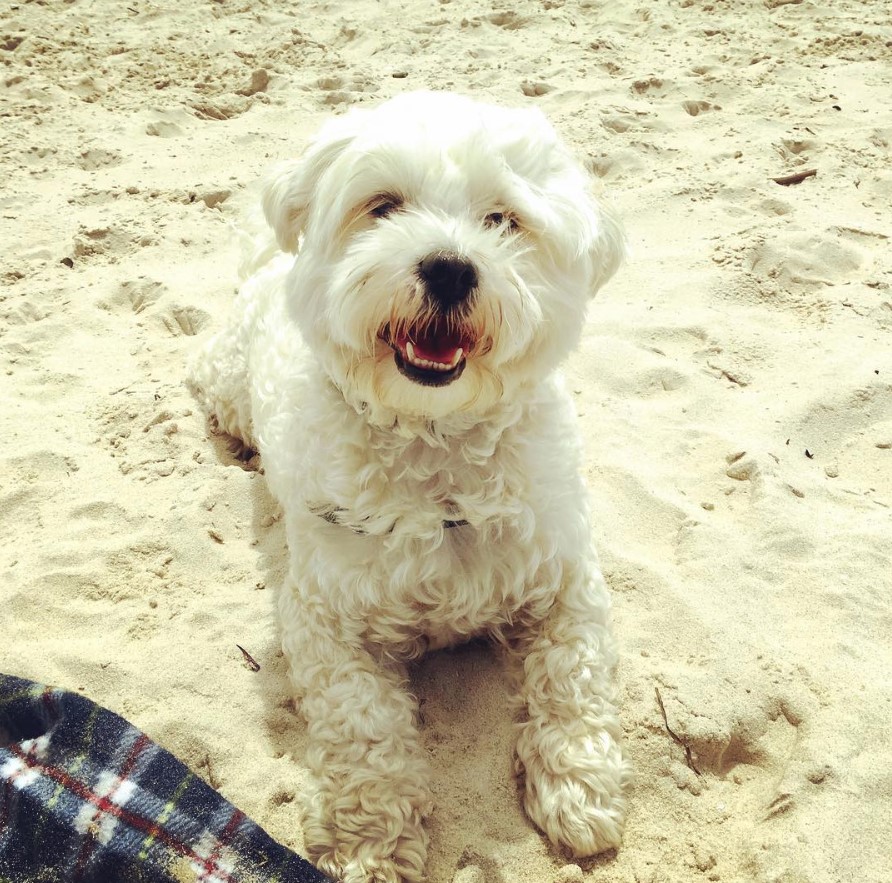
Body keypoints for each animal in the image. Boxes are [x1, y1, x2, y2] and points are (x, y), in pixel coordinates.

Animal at [188, 91, 632, 883]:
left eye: (503, 218)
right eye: (383, 205)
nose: (450, 270)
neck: (436, 446)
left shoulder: (566, 580)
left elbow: (573, 676)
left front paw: (580, 786)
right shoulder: (324, 618)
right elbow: (363, 722)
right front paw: (372, 841)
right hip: (226, 380)